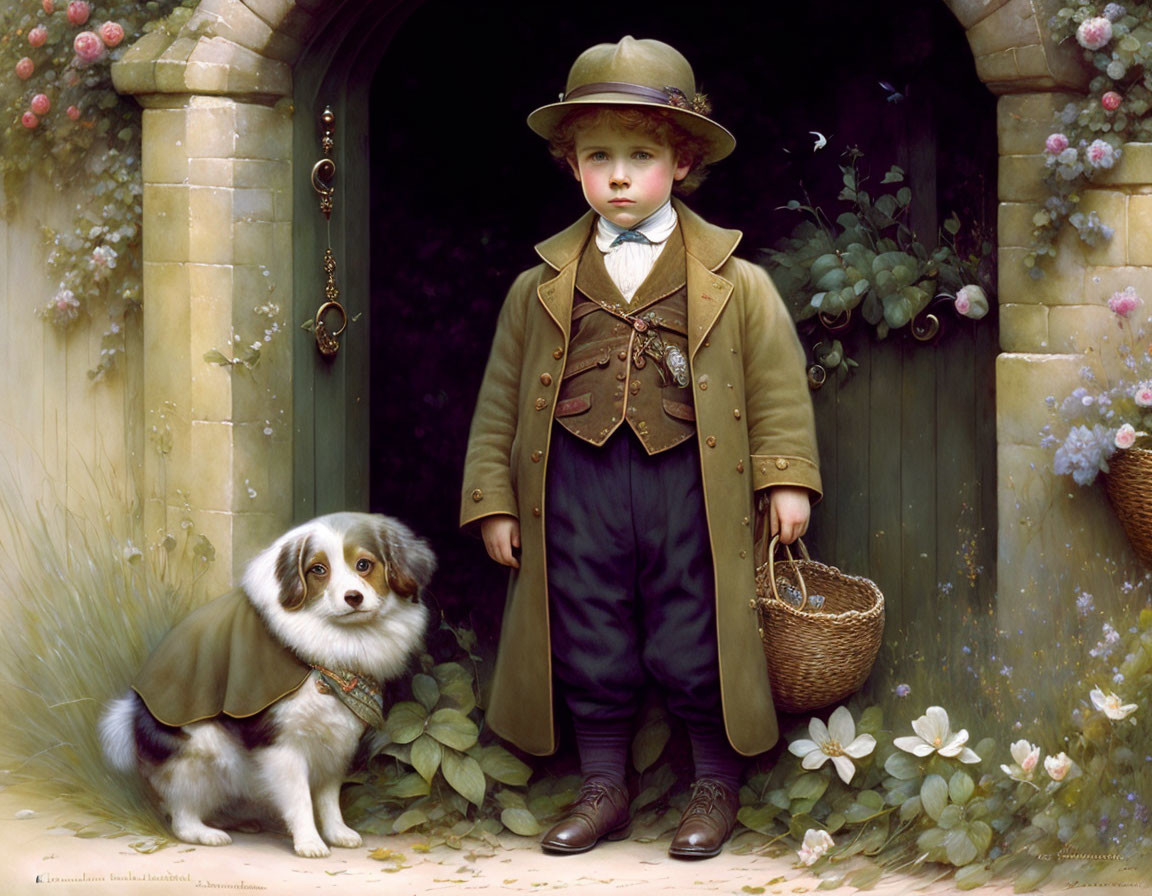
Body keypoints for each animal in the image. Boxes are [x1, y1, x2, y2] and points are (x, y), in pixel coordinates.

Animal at [97, 509, 433, 852]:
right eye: (318, 570)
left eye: (364, 564)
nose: (353, 597)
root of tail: (131, 713)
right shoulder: (282, 744)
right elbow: (300, 798)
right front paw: (309, 843)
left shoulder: (336, 741)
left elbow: (328, 797)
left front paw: (338, 833)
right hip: (204, 752)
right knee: (180, 814)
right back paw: (207, 833)